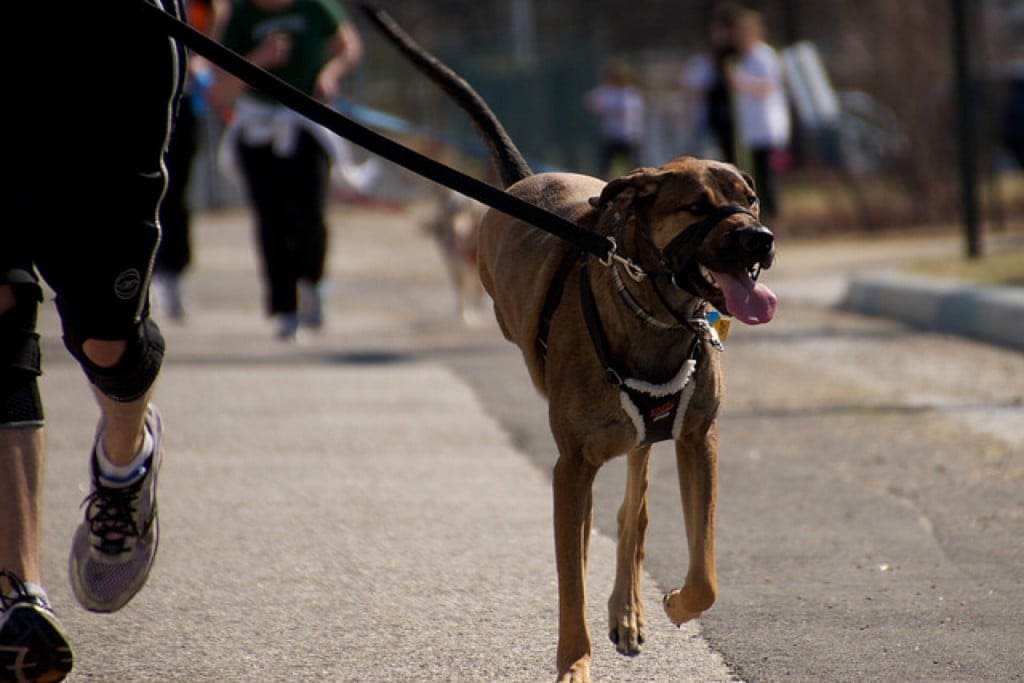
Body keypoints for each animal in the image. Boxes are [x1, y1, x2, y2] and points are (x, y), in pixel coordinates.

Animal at [364, 7, 778, 679]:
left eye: (751, 199)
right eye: (697, 207)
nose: (761, 239)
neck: (655, 313)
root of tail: (527, 180)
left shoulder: (698, 438)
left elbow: (705, 572)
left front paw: (675, 603)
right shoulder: (571, 467)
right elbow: (570, 584)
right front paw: (574, 663)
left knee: (633, 507)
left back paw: (629, 607)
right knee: (603, 522)